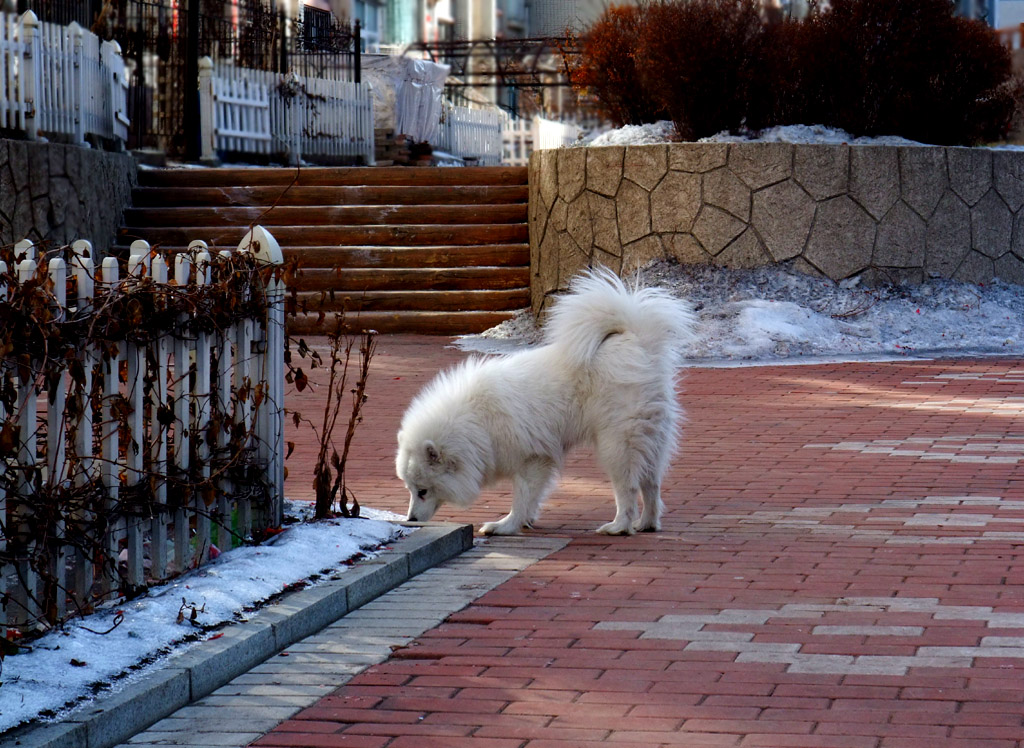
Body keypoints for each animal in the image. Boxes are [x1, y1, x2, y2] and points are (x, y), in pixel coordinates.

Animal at [391, 264, 696, 532]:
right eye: (410, 489)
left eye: (422, 491)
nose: (411, 520)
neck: (475, 421)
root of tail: (636, 340)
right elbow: (531, 498)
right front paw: (525, 521)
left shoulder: (532, 459)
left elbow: (522, 497)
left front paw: (506, 526)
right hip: (653, 437)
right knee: (652, 484)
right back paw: (648, 524)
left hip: (617, 443)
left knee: (628, 489)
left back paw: (619, 527)